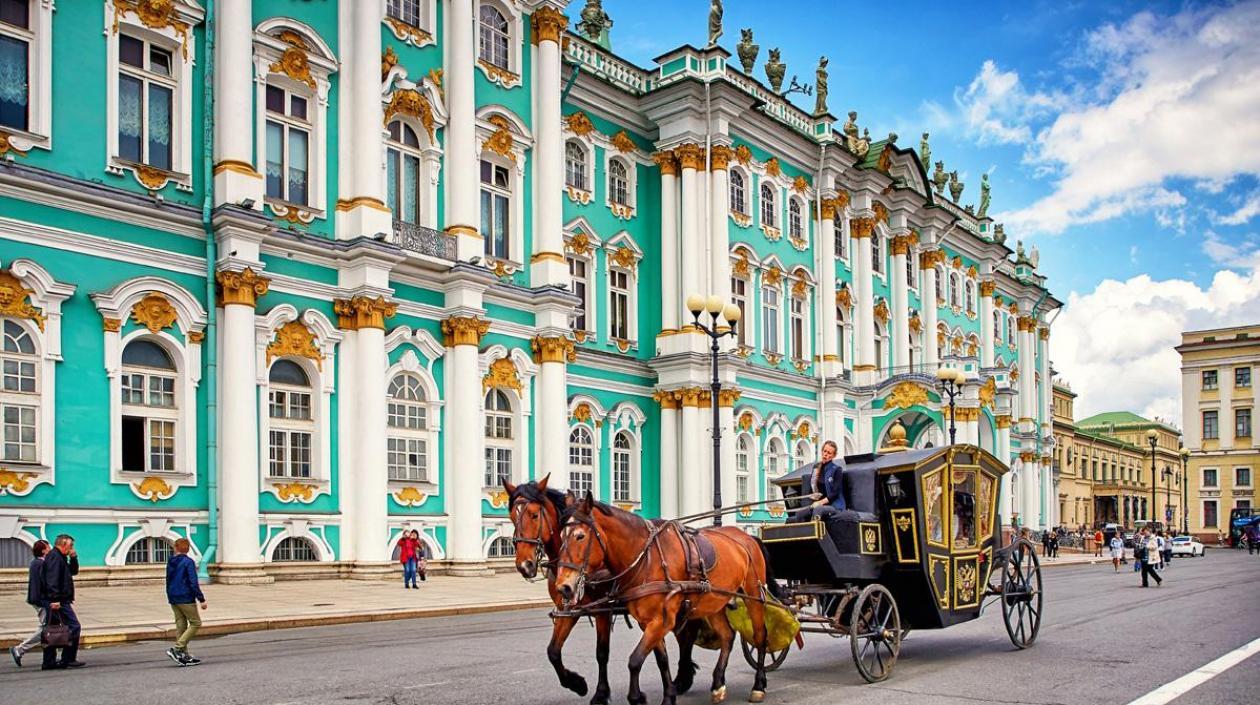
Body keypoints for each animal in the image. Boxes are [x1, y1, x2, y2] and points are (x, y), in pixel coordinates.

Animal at [506, 475, 614, 699]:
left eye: (534, 515)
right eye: (512, 517)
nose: (524, 565)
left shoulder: (603, 609)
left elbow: (602, 652)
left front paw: (601, 692)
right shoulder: (567, 608)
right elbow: (553, 651)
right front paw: (576, 683)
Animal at [556, 493, 771, 699]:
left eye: (580, 536)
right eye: (560, 536)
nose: (563, 587)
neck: (647, 559)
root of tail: (746, 537)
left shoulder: (661, 621)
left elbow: (635, 660)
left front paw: (637, 697)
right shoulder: (649, 623)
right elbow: (662, 660)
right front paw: (669, 695)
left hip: (754, 596)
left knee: (760, 636)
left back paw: (758, 685)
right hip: (714, 602)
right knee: (727, 635)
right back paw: (718, 684)